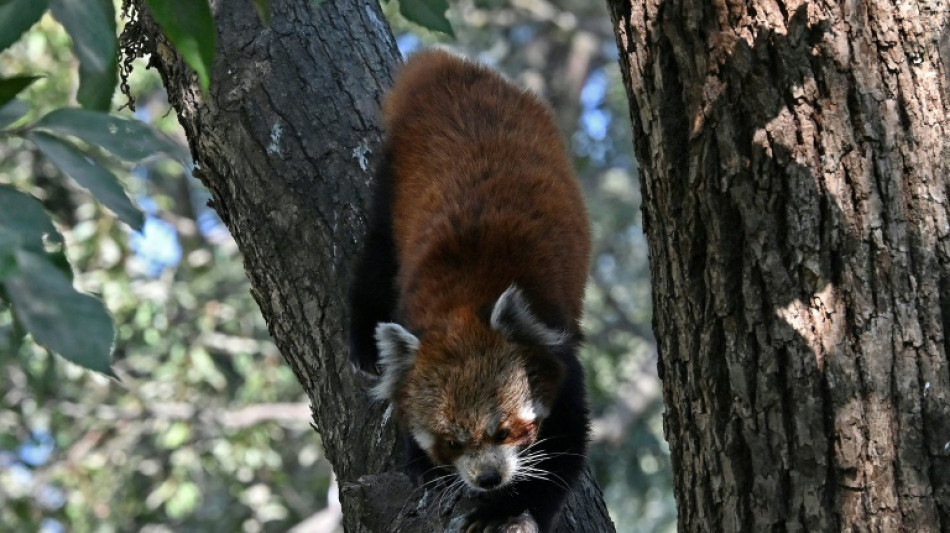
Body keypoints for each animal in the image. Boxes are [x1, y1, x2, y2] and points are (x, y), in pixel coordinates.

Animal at [346, 50, 592, 532]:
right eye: (452, 442)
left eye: (504, 431)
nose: (488, 478)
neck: (464, 302)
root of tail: (449, 67)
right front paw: (424, 465)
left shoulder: (556, 346)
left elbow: (563, 449)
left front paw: (506, 508)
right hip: (393, 175)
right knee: (378, 251)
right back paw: (363, 339)